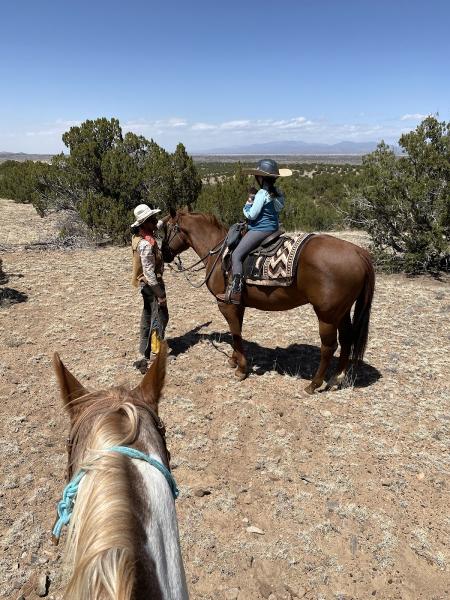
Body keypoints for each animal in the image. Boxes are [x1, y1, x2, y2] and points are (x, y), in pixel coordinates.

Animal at [163, 211, 374, 394]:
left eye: (165, 228)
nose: (164, 254)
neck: (219, 253)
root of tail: (358, 252)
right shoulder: (238, 305)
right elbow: (236, 332)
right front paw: (234, 360)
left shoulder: (226, 305)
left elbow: (236, 333)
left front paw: (241, 369)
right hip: (342, 312)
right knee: (346, 340)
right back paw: (336, 378)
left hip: (327, 316)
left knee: (329, 347)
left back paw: (314, 384)